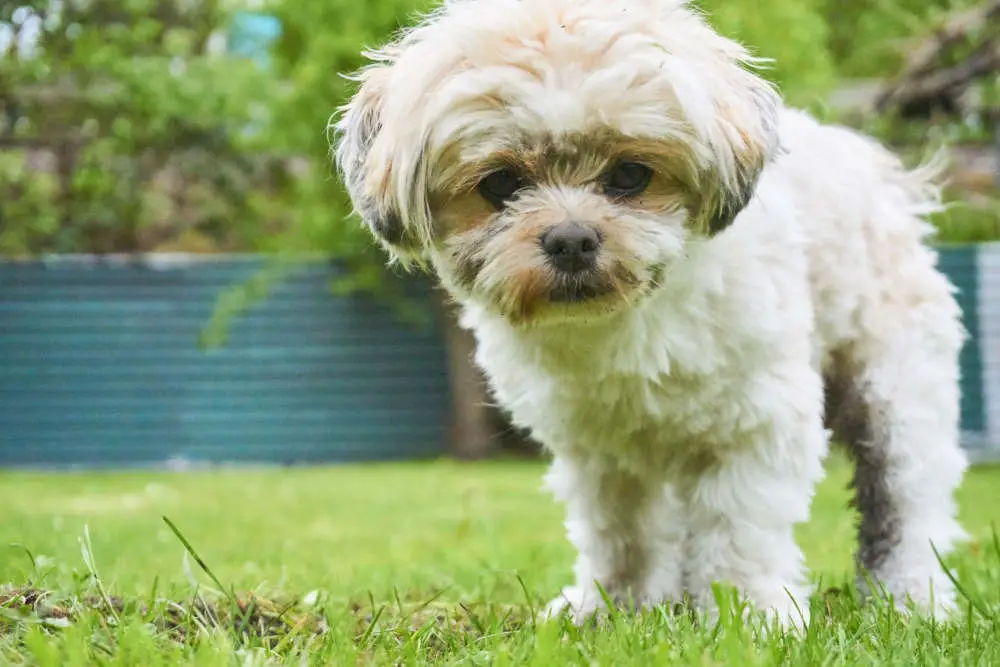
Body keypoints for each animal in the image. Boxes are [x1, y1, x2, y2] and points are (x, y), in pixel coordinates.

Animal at [334, 0, 968, 632]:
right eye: (501, 184)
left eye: (630, 175)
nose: (570, 238)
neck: (619, 325)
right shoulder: (600, 453)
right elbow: (620, 535)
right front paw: (609, 608)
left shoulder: (754, 427)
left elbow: (738, 533)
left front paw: (747, 618)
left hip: (895, 394)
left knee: (906, 501)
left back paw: (913, 601)